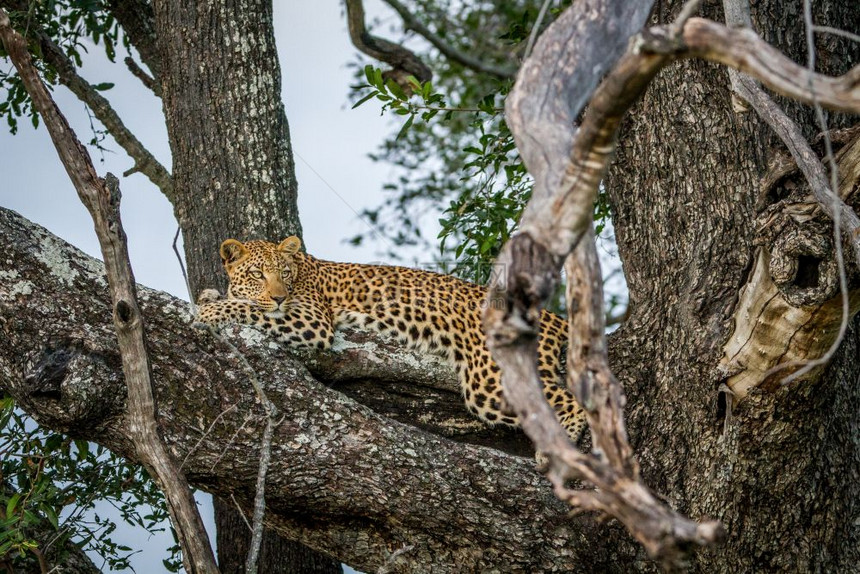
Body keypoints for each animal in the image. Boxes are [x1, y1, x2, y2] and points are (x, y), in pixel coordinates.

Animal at [197, 236, 584, 444]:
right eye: (257, 274)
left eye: (284, 273)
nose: (279, 297)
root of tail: (554, 318)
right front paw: (210, 296)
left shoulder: (312, 319)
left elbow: (249, 309)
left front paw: (208, 310)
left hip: (490, 381)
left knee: (570, 403)